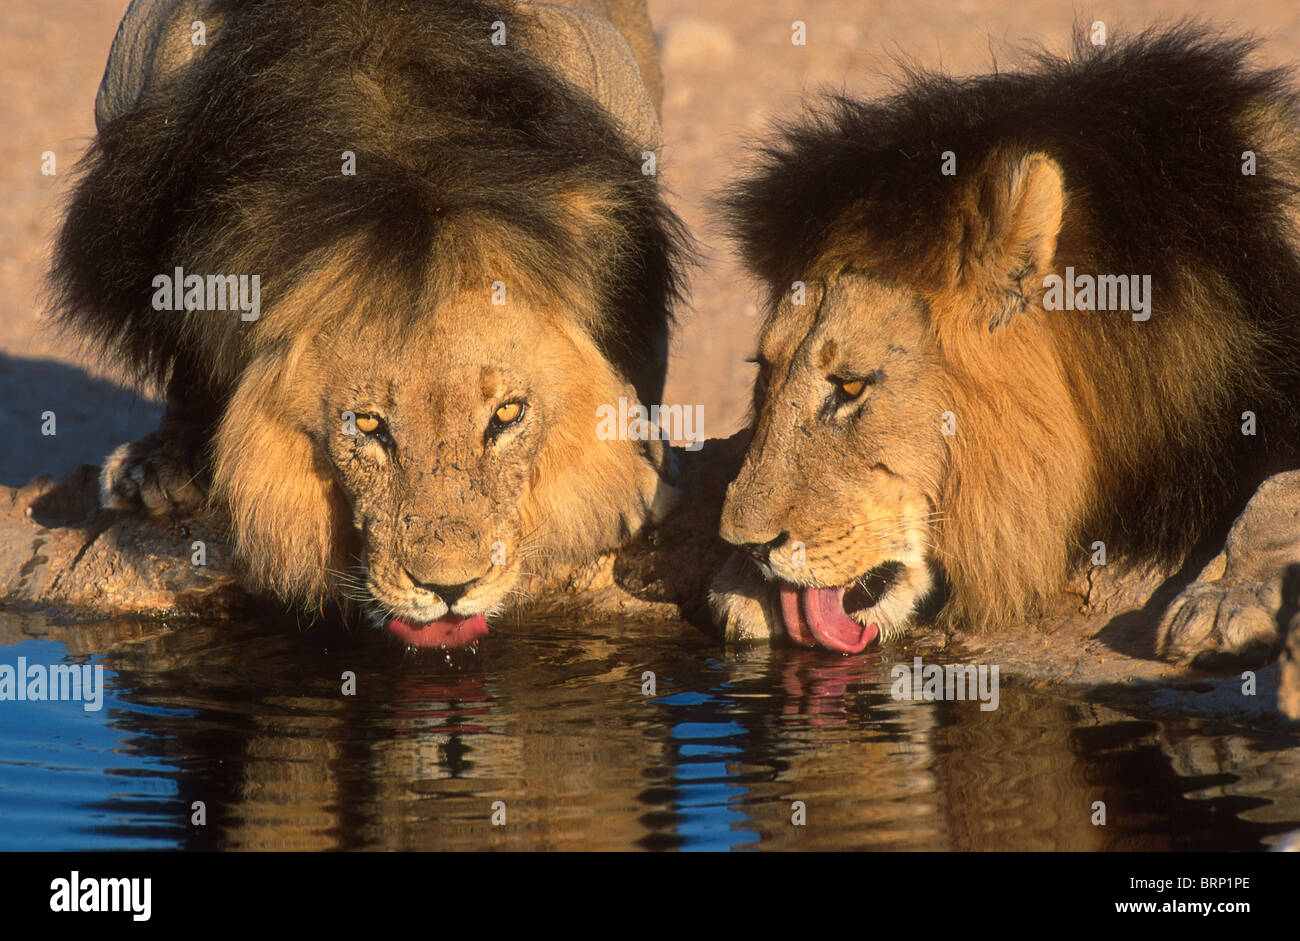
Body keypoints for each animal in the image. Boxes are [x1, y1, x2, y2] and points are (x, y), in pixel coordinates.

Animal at [709, 25, 1300, 660]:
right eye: (763, 374)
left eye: (850, 386)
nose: (746, 545)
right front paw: (742, 587)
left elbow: (1275, 494)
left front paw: (1227, 597)